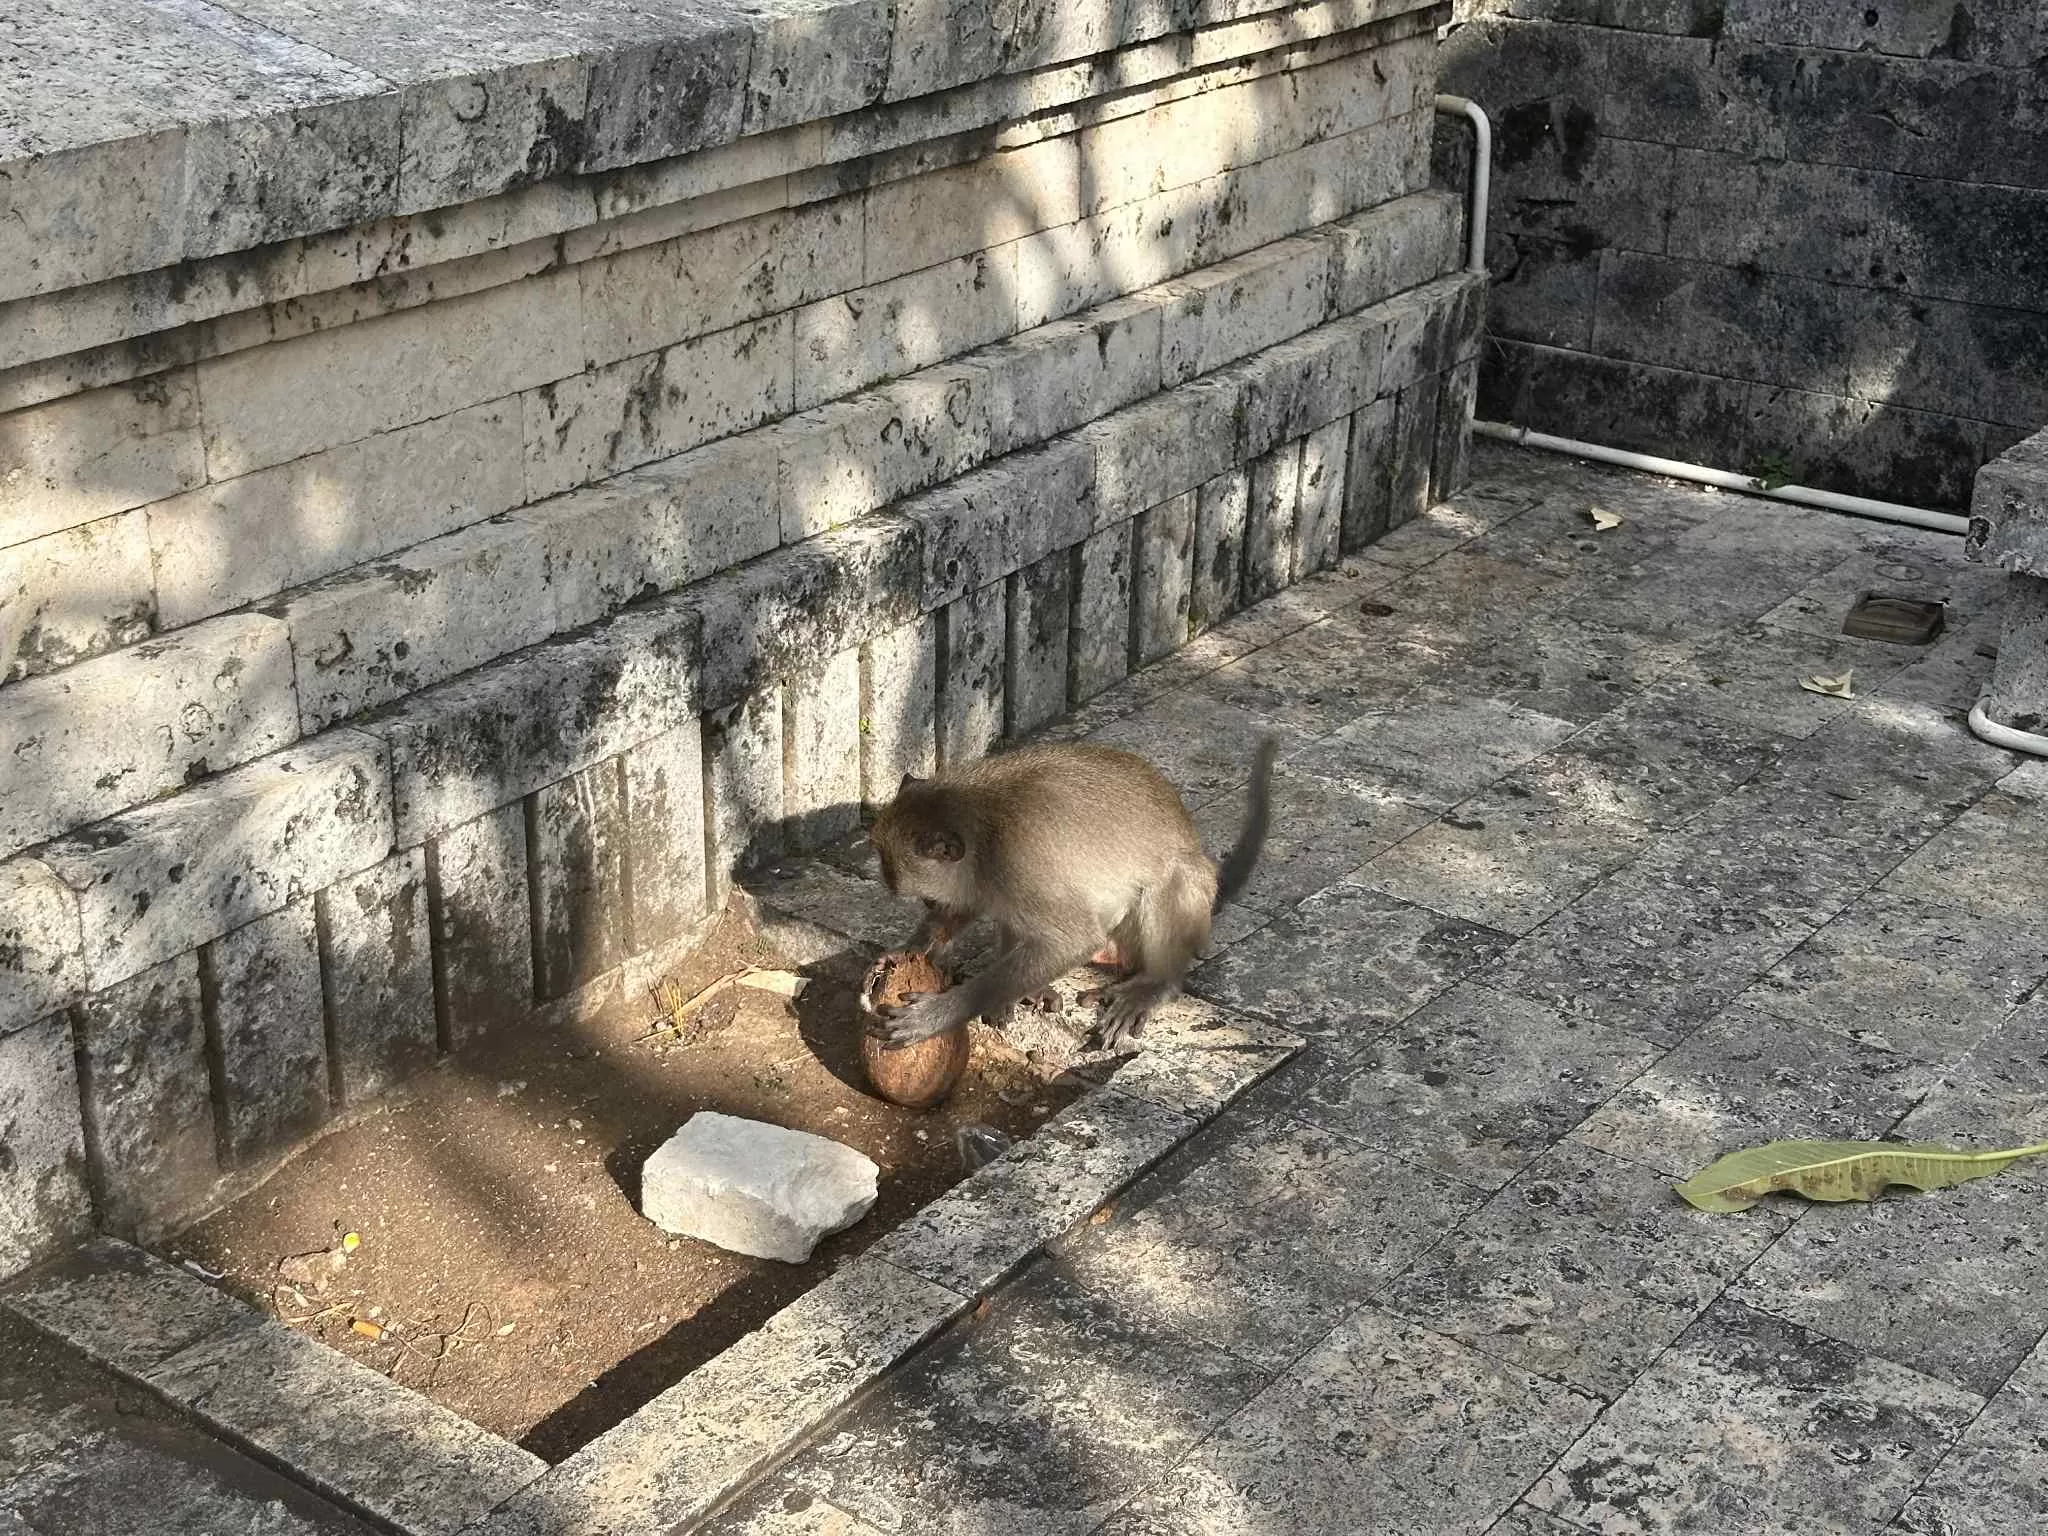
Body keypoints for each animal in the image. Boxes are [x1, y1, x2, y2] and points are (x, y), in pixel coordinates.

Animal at [864, 736, 1277, 1052]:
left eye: (928, 900)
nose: (932, 908)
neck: (981, 829)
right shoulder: (987, 876)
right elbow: (973, 905)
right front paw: (913, 947)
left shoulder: (1018, 866)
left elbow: (1073, 939)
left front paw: (937, 1014)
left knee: (1171, 876)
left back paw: (1154, 983)